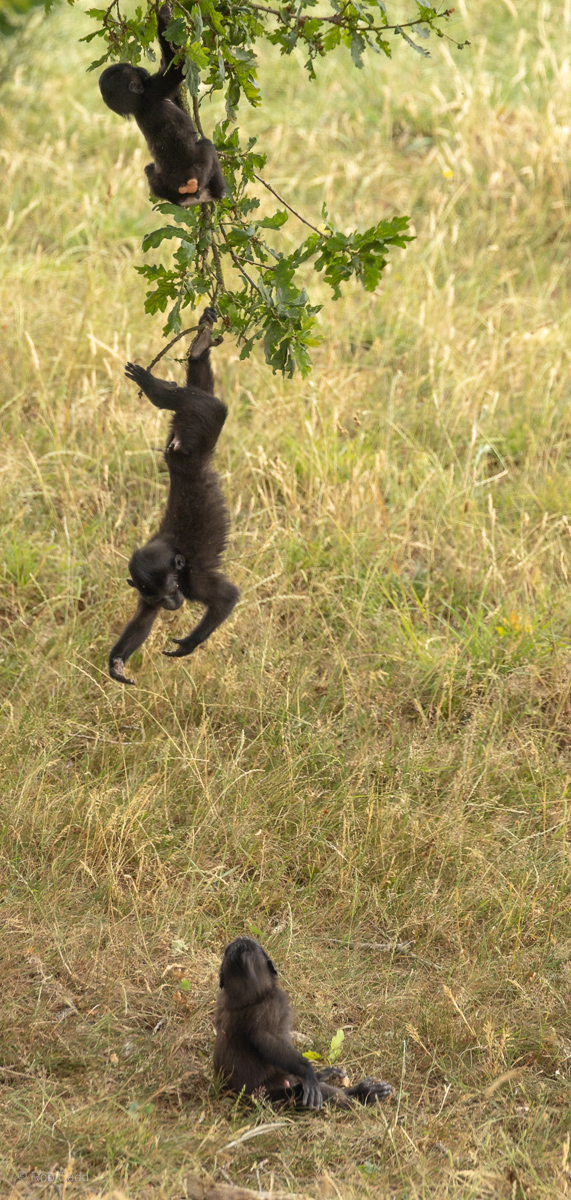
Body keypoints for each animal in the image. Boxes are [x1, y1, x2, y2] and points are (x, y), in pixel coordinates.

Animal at [98, 4, 226, 207]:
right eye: (134, 70)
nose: (140, 68)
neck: (139, 104)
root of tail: (186, 184)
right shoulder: (155, 89)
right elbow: (176, 68)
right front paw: (163, 17)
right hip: (201, 167)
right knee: (207, 147)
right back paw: (220, 192)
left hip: (161, 180)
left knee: (149, 171)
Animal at [108, 307, 239, 685]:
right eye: (158, 596)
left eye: (171, 591)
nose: (171, 604)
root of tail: (185, 457)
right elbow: (142, 620)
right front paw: (116, 662)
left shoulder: (194, 581)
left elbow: (227, 597)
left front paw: (189, 644)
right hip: (185, 434)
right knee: (197, 389)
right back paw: (199, 345)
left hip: (204, 425)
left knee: (208, 403)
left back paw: (155, 389)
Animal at [213, 938, 393, 1110]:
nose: (241, 939)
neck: (245, 1001)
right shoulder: (274, 1004)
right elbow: (264, 1039)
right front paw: (307, 1071)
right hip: (274, 1095)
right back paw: (362, 1094)